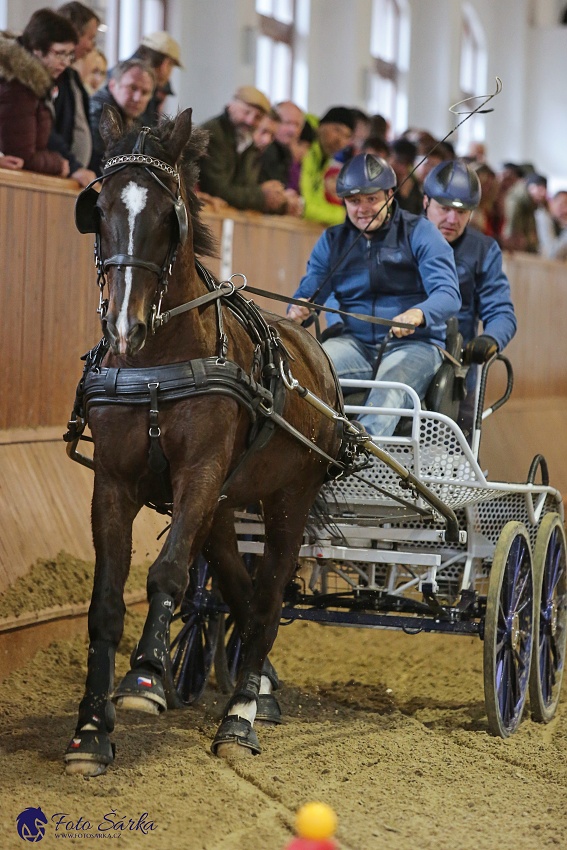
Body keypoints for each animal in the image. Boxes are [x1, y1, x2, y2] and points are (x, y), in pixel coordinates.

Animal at [65, 106, 344, 776]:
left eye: (170, 217)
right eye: (99, 208)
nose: (125, 325)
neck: (158, 361)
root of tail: (313, 348)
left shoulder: (200, 472)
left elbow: (166, 572)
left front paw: (144, 678)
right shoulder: (113, 482)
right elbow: (105, 603)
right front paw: (90, 730)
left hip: (286, 498)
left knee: (267, 601)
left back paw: (239, 717)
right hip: (221, 509)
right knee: (241, 596)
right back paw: (257, 686)